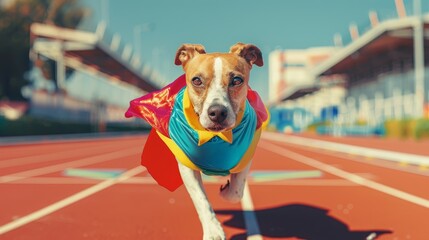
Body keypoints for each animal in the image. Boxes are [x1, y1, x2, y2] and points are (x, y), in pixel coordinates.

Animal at [173, 43, 260, 240]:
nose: (218, 112)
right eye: (197, 80)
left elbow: (236, 191)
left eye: (237, 80)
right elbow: (201, 200)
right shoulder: (187, 167)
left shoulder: (247, 156)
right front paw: (213, 231)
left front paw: (227, 189)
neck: (216, 138)